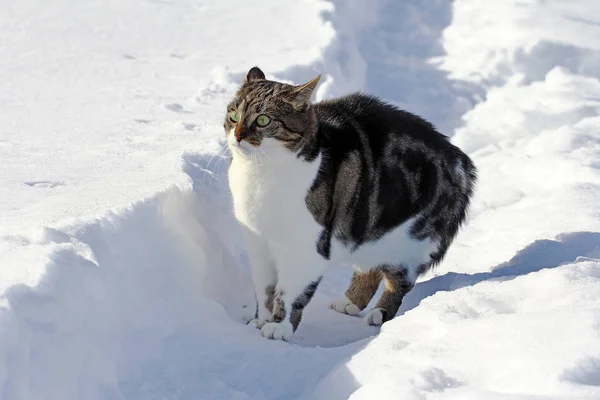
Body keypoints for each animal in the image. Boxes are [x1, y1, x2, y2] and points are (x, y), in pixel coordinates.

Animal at [223, 65, 476, 340]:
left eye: (262, 120)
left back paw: (379, 313)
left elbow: (290, 291)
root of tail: (463, 163)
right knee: (369, 267)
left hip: (410, 239)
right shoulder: (259, 244)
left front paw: (280, 326)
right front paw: (260, 321)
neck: (260, 176)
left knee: (399, 280)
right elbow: (264, 289)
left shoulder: (306, 249)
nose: (238, 136)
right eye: (234, 115)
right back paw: (350, 302)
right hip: (367, 230)